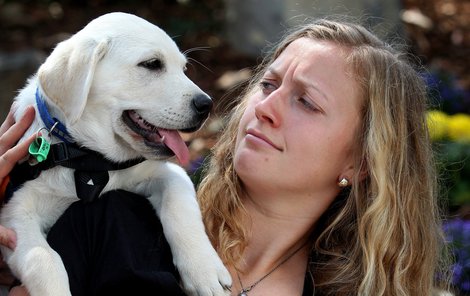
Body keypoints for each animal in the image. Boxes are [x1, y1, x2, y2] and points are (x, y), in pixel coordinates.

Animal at [0, 12, 231, 296]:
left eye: (184, 69)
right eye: (152, 64)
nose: (206, 105)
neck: (91, 160)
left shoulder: (169, 173)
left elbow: (179, 205)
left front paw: (205, 270)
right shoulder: (15, 211)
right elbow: (42, 257)